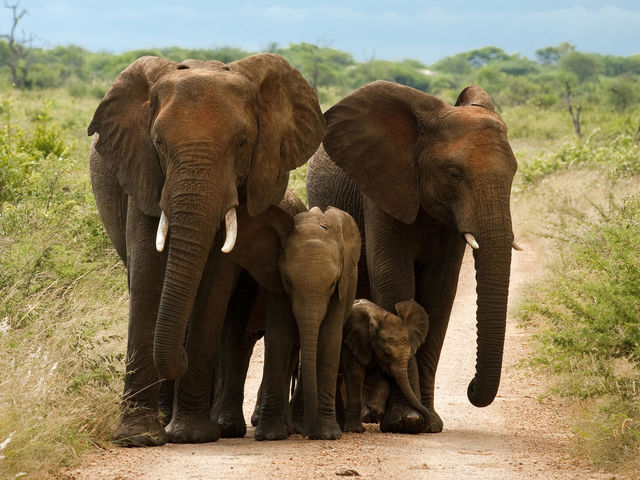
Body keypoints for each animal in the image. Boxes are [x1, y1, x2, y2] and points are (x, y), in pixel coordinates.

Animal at [87, 53, 322, 446]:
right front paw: (138, 438)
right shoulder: (144, 173)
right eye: (158, 142)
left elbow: (215, 282)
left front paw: (191, 435)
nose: (178, 360)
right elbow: (149, 271)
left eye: (243, 142)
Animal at [226, 203, 362, 438]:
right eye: (288, 281)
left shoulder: (343, 287)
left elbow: (328, 339)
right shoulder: (275, 281)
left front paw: (326, 435)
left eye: (333, 283)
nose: (308, 432)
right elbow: (279, 337)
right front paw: (270, 436)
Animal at [340, 298, 430, 434]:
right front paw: (356, 430)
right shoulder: (353, 340)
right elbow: (355, 372)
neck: (377, 314)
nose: (424, 423)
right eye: (386, 353)